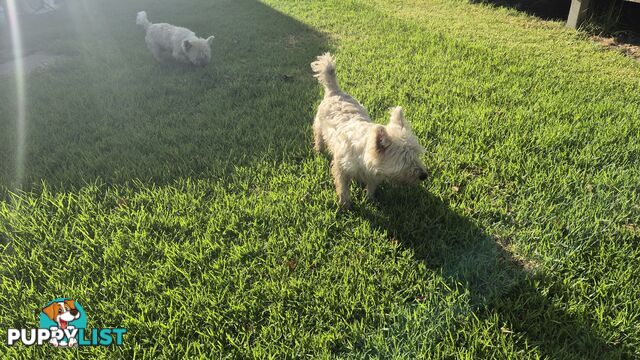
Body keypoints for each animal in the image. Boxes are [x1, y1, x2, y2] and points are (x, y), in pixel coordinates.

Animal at [312, 51, 428, 208]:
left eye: (416, 154)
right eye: (404, 159)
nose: (424, 175)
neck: (363, 154)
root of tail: (335, 91)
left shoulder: (374, 173)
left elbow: (371, 186)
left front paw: (370, 199)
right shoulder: (341, 167)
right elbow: (343, 187)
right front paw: (345, 204)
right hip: (319, 125)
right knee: (318, 137)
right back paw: (318, 150)